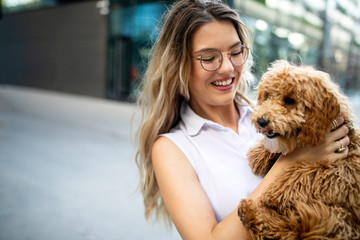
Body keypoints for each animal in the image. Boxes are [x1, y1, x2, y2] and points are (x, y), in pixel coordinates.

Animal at [239, 59, 360, 238]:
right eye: (268, 96)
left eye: (289, 100)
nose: (261, 121)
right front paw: (260, 154)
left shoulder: (341, 171)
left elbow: (303, 173)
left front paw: (274, 192)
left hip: (333, 217)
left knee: (294, 229)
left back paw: (251, 214)